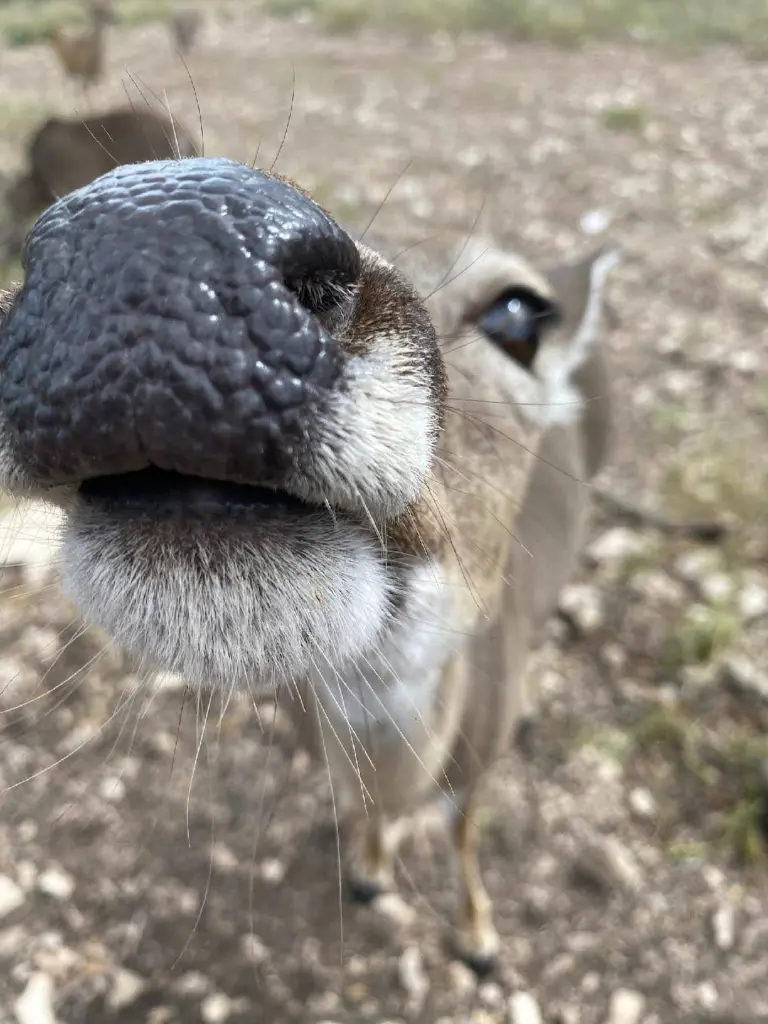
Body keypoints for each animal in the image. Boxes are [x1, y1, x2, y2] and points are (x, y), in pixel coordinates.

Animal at [0, 155, 618, 970]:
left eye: (518, 313)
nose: (153, 240)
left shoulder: (476, 767)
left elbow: (463, 829)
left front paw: (480, 937)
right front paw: (370, 875)